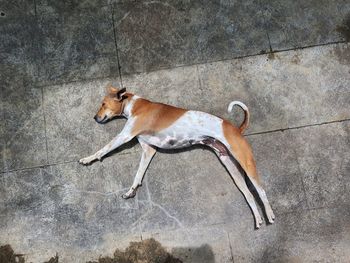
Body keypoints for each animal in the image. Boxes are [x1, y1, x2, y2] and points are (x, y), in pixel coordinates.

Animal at [80, 85, 276, 229]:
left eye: (103, 104)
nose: (95, 118)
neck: (133, 105)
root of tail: (237, 129)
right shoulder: (148, 150)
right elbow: (138, 175)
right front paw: (132, 190)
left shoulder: (125, 136)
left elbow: (103, 149)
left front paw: (88, 159)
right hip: (231, 167)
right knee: (248, 194)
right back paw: (258, 219)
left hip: (245, 161)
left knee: (260, 190)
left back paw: (269, 214)